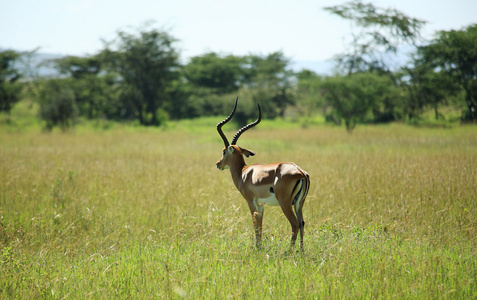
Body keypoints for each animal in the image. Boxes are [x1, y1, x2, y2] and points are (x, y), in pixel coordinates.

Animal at [215, 98, 308, 248]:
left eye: (224, 151)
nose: (218, 164)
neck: (243, 172)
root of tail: (300, 172)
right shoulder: (261, 204)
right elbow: (260, 224)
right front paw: (259, 246)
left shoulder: (251, 201)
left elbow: (255, 224)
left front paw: (257, 248)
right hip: (299, 203)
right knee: (302, 223)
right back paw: (301, 250)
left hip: (285, 203)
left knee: (295, 224)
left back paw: (289, 251)